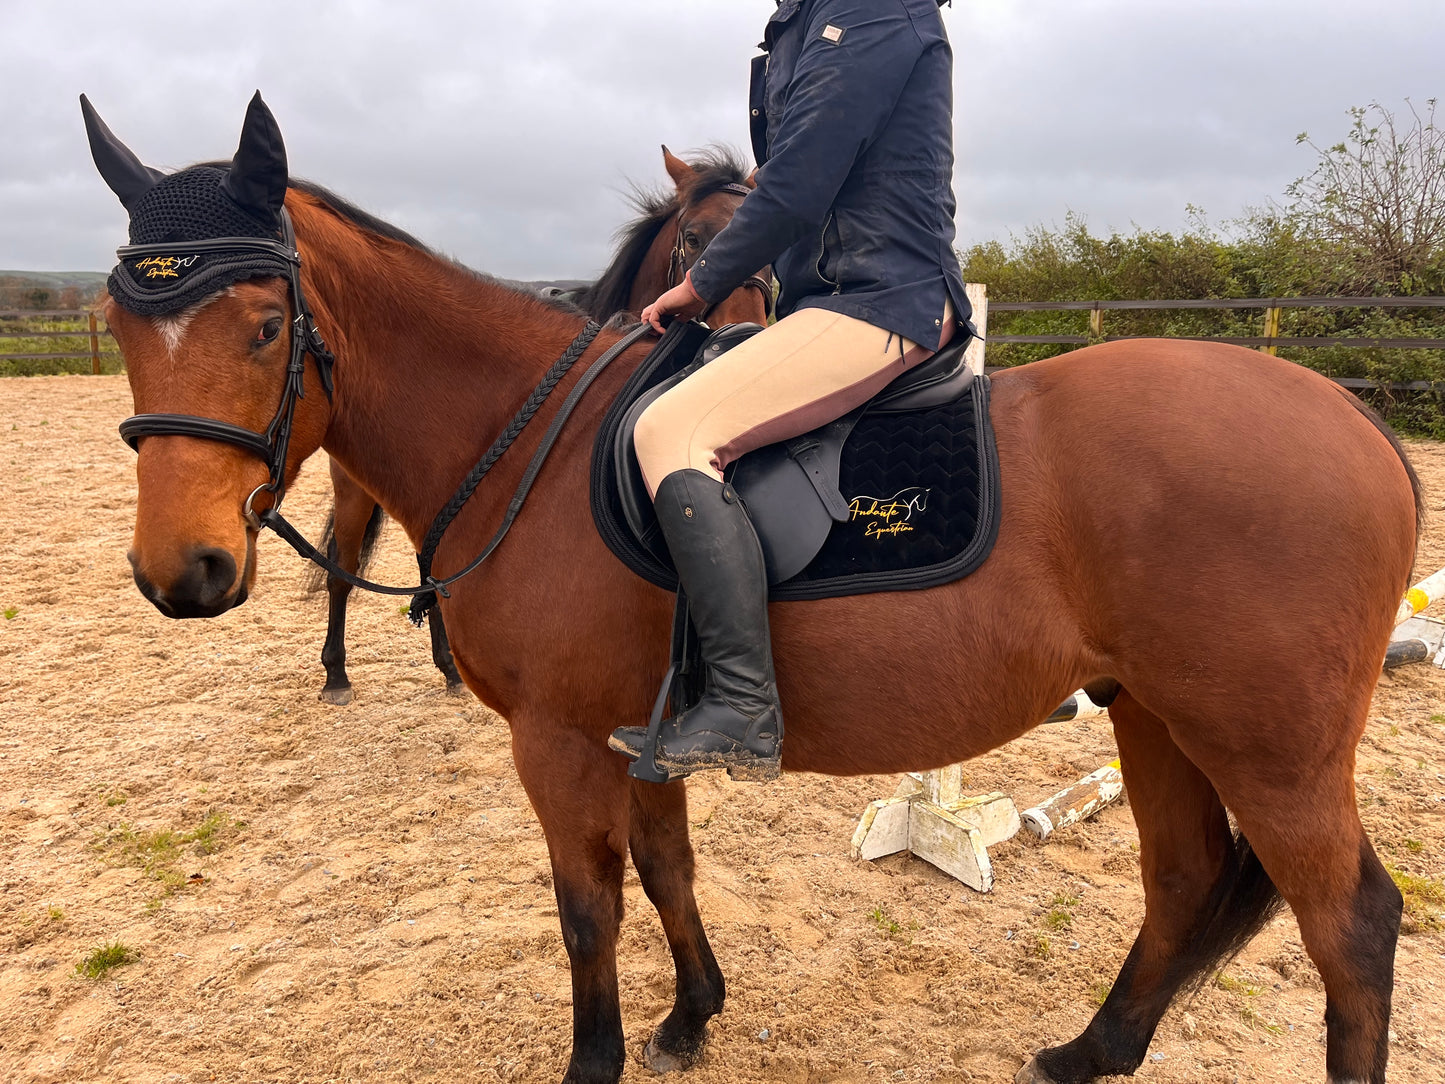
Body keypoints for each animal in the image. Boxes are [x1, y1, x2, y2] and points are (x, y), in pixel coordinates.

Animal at [309, 144, 768, 705]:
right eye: (695, 237)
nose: (748, 334)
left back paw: (448, 668)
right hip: (354, 489)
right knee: (342, 568)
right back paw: (337, 674)